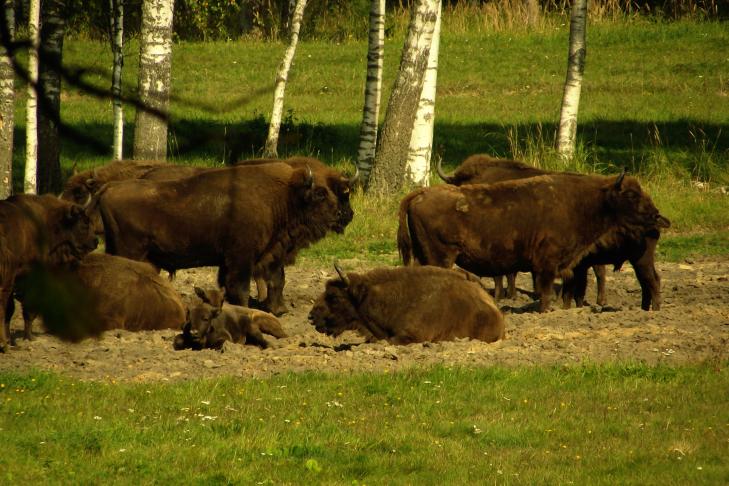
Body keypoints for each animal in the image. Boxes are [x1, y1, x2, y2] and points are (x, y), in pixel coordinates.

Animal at [0, 194, 97, 350]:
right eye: (84, 223)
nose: (95, 241)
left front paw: (14, 340)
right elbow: (26, 308)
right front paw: (27, 338)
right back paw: (3, 345)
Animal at [398, 173, 672, 314]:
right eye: (631, 194)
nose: (656, 215)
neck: (584, 202)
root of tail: (420, 193)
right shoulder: (548, 264)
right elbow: (547, 291)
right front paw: (546, 311)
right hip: (441, 257)